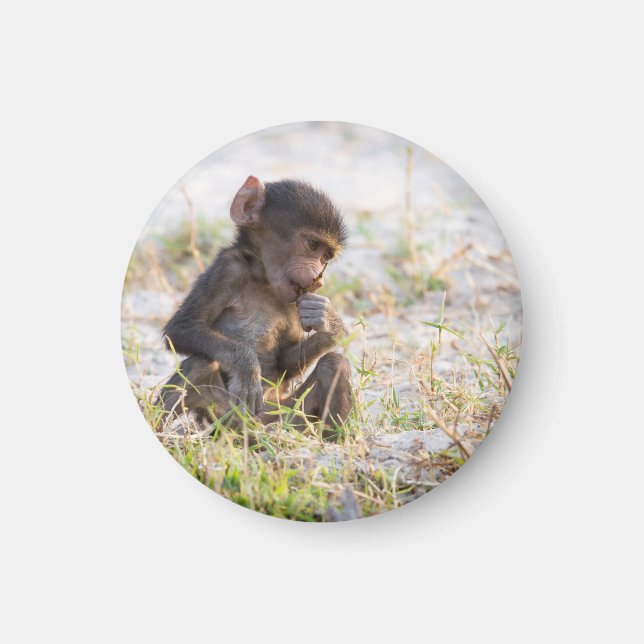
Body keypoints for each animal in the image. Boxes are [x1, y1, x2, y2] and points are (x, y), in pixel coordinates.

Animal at [159, 175, 352, 434]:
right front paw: (247, 366)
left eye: (326, 257)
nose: (318, 279)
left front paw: (328, 322)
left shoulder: (293, 301)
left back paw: (332, 438)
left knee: (335, 363)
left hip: (286, 414)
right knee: (199, 363)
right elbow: (181, 329)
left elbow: (286, 361)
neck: (263, 281)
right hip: (222, 415)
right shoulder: (228, 268)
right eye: (312, 244)